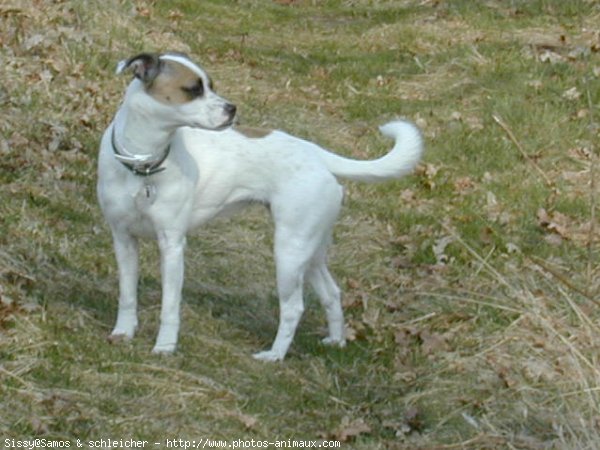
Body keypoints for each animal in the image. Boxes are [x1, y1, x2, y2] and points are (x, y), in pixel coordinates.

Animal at [96, 51, 424, 362]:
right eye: (193, 90)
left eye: (210, 85)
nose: (232, 108)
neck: (142, 165)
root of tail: (317, 154)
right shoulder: (123, 240)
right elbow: (127, 295)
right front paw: (123, 332)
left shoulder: (173, 246)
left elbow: (170, 307)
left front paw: (165, 347)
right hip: (310, 251)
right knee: (331, 293)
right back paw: (336, 341)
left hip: (288, 254)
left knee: (293, 308)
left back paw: (275, 355)